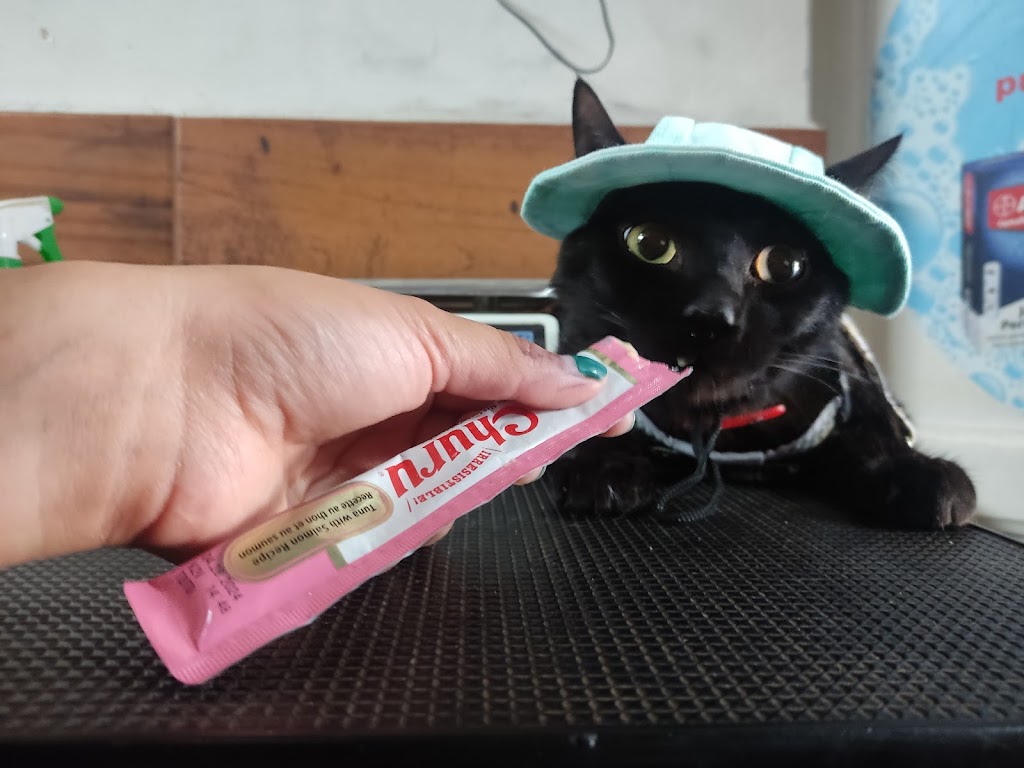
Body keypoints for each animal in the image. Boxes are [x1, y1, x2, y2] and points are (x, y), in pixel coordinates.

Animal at [546, 80, 976, 531]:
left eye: (784, 265)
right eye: (649, 243)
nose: (711, 319)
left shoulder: (851, 384)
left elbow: (872, 429)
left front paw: (914, 470)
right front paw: (597, 463)